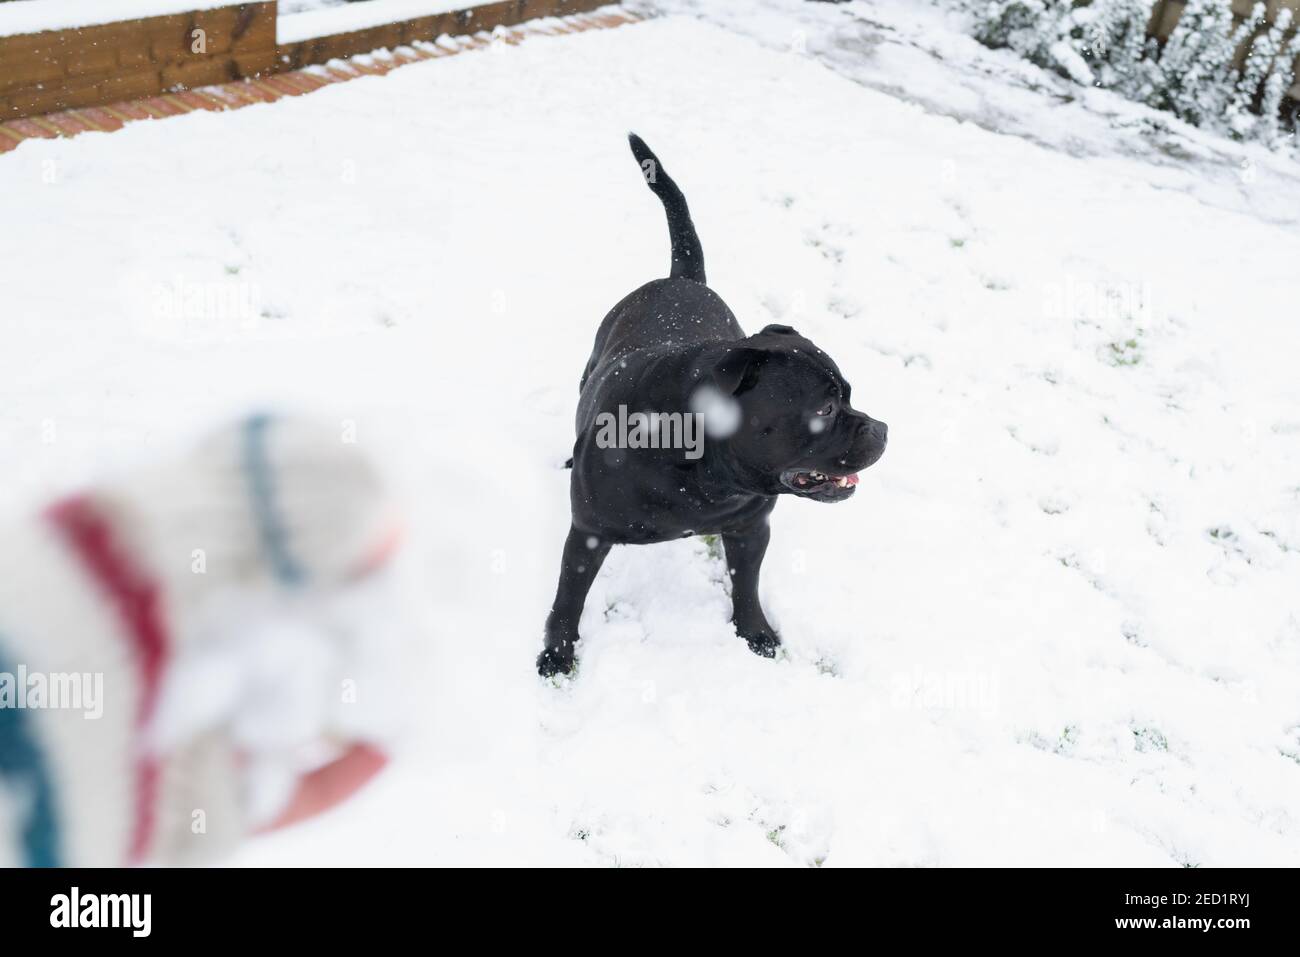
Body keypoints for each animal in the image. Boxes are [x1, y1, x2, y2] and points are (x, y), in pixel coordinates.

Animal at [533, 134, 889, 676]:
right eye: (826, 410)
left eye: (848, 395)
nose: (883, 429)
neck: (700, 469)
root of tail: (682, 278)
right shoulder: (588, 533)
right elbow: (568, 598)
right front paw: (557, 653)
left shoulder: (750, 528)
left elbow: (747, 585)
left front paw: (756, 633)